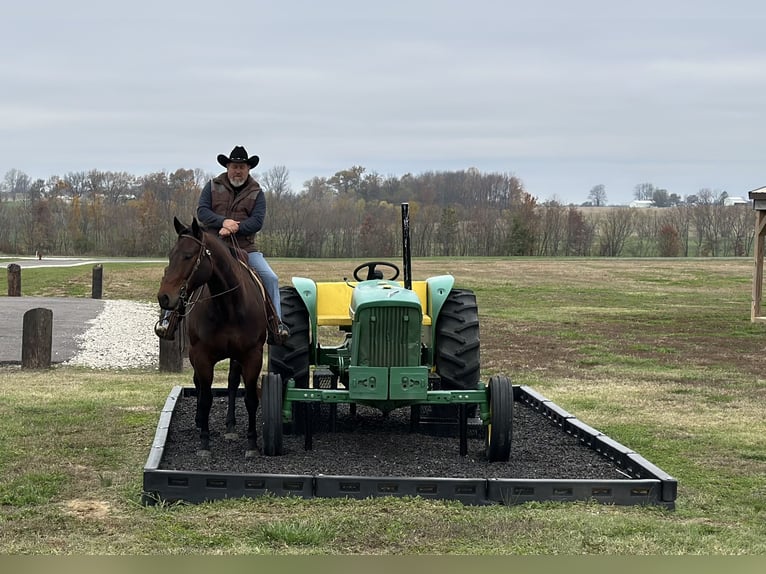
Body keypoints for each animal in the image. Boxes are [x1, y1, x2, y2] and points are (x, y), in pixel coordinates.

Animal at [156, 216, 270, 460]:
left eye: (188, 255)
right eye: (171, 255)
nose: (164, 297)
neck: (228, 306)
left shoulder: (252, 355)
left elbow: (249, 398)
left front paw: (252, 443)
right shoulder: (201, 356)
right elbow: (206, 397)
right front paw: (204, 442)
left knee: (232, 382)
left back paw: (230, 426)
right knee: (199, 384)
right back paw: (200, 421)